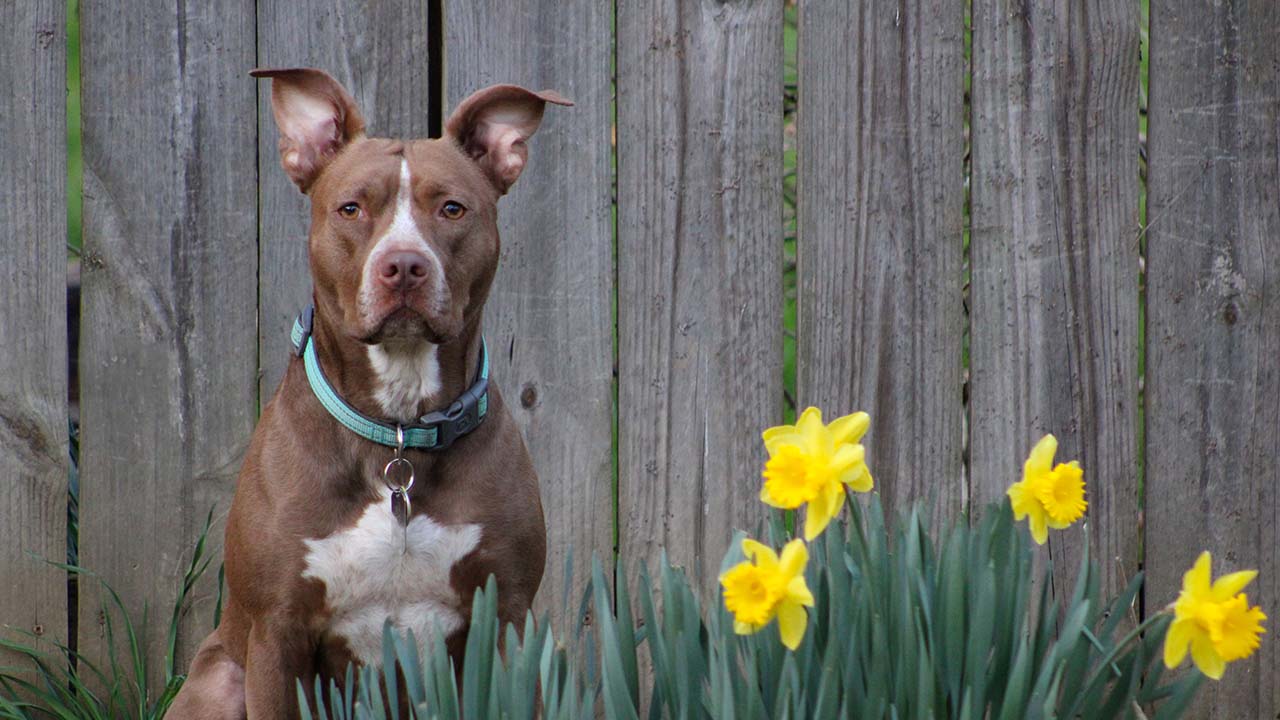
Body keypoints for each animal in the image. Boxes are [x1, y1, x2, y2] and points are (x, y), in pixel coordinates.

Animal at [167, 68, 568, 717]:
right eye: (351, 208)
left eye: (452, 208)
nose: (403, 265)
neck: (399, 427)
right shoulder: (276, 632)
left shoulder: (507, 617)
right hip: (222, 676)